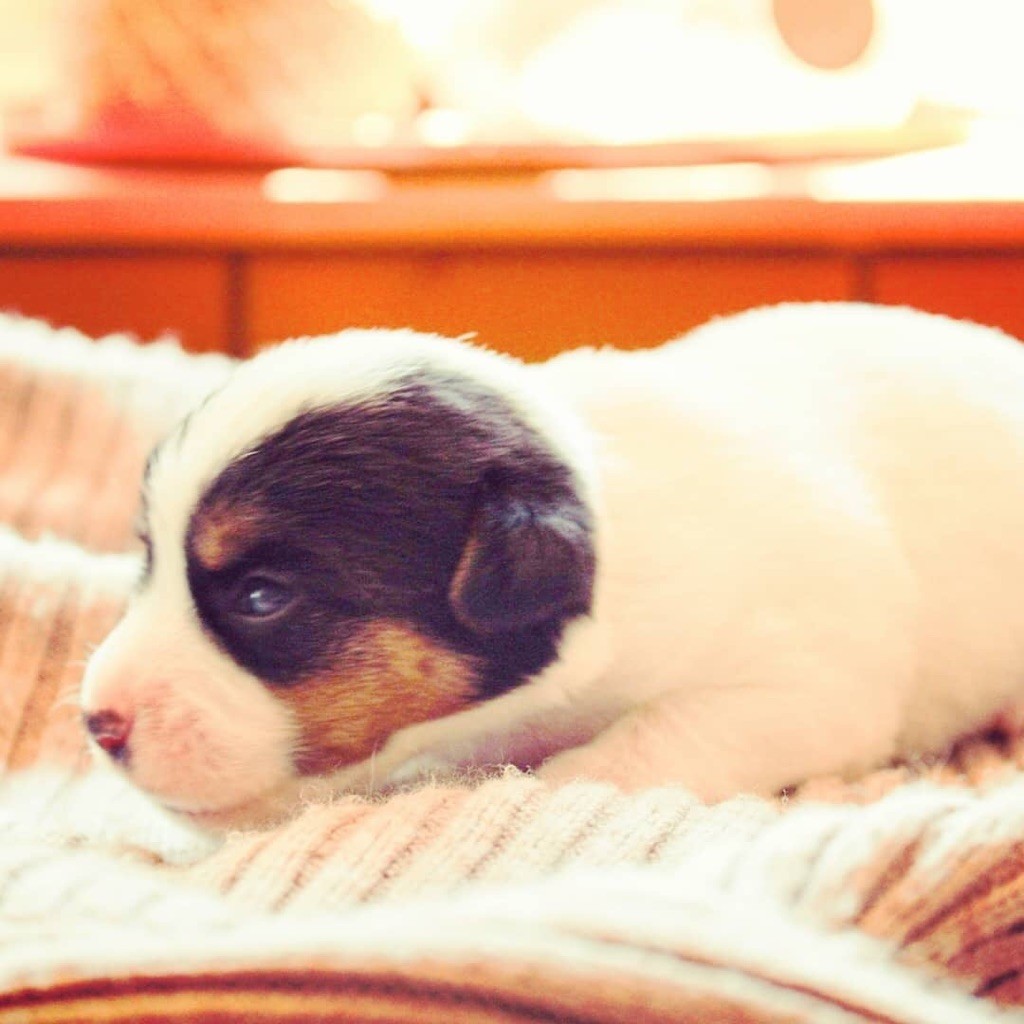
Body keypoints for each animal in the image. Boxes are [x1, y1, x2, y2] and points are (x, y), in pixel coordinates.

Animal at [80, 302, 1024, 830]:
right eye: (147, 560)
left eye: (261, 597)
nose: (97, 723)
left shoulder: (806, 687)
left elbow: (645, 742)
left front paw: (554, 783)